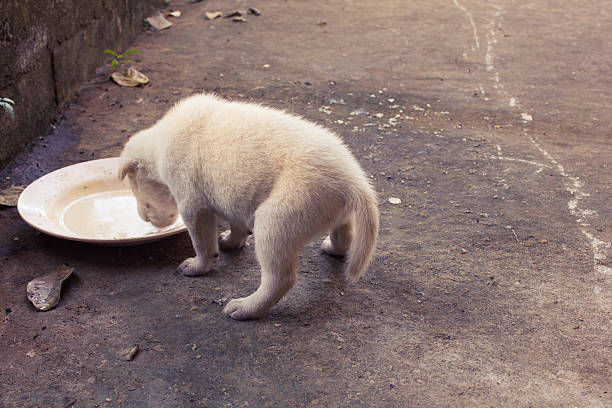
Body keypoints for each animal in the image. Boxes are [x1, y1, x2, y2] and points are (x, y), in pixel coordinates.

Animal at [119, 94, 378, 320]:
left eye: (143, 199)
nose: (144, 218)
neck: (159, 144)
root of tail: (354, 179)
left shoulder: (193, 205)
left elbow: (202, 244)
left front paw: (197, 266)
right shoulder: (233, 197)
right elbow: (237, 226)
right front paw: (230, 242)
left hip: (277, 220)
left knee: (280, 278)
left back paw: (245, 308)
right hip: (330, 210)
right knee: (344, 235)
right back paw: (332, 248)